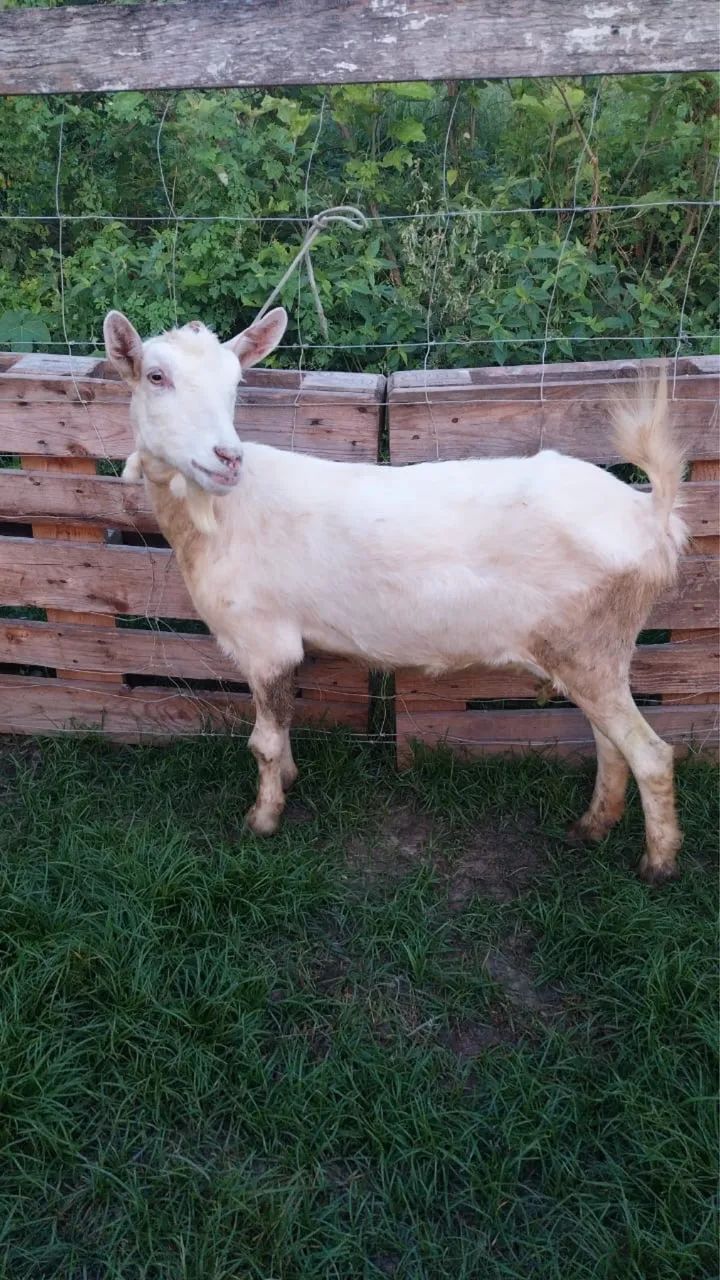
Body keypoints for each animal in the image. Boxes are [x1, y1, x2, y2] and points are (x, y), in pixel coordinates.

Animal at [103, 307, 688, 883]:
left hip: (589, 645)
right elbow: (283, 725)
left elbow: (263, 742)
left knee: (650, 754)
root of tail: (649, 514)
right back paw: (591, 828)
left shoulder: (263, 640)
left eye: (235, 383)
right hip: (588, 651)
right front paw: (289, 780)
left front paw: (262, 819)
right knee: (611, 748)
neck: (221, 512)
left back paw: (657, 864)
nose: (226, 458)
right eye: (156, 377)